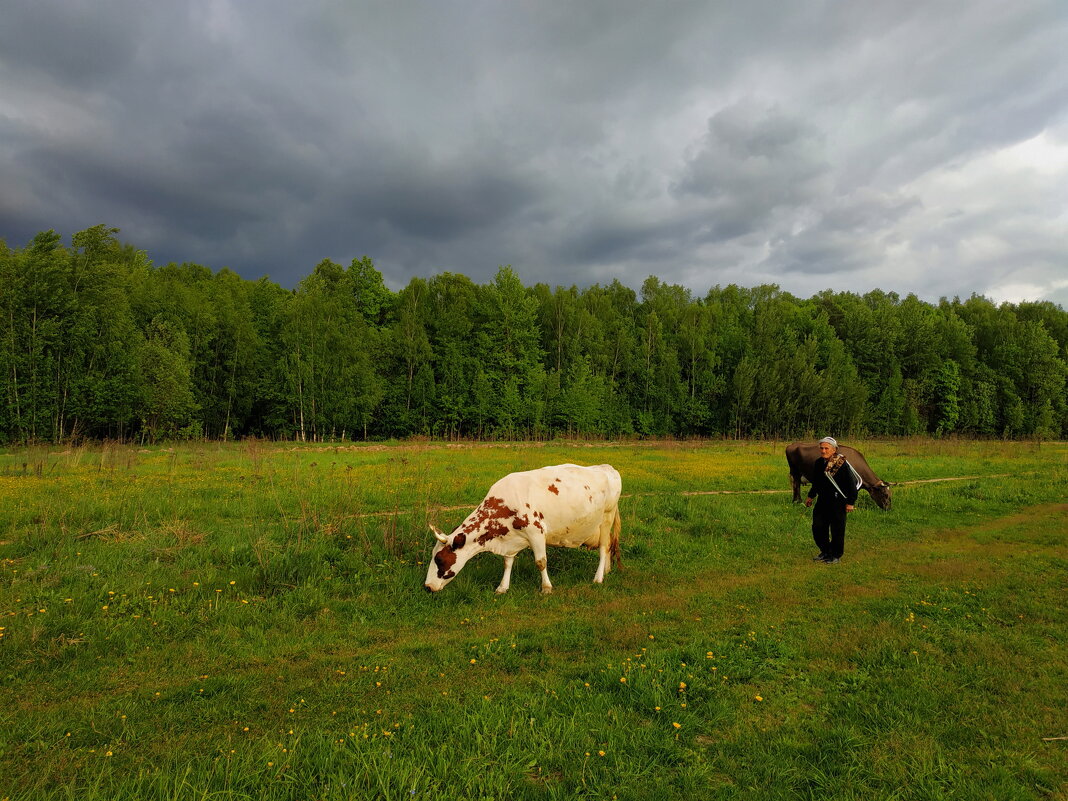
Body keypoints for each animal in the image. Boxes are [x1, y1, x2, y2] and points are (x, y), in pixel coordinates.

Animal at [425, 463, 623, 598]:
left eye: (439, 559)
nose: (427, 586)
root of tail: (607, 468)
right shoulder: (511, 538)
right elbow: (507, 562)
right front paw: (502, 587)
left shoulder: (536, 532)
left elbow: (541, 562)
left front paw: (546, 588)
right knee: (608, 547)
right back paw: (607, 571)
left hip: (606, 518)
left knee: (604, 548)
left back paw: (598, 578)